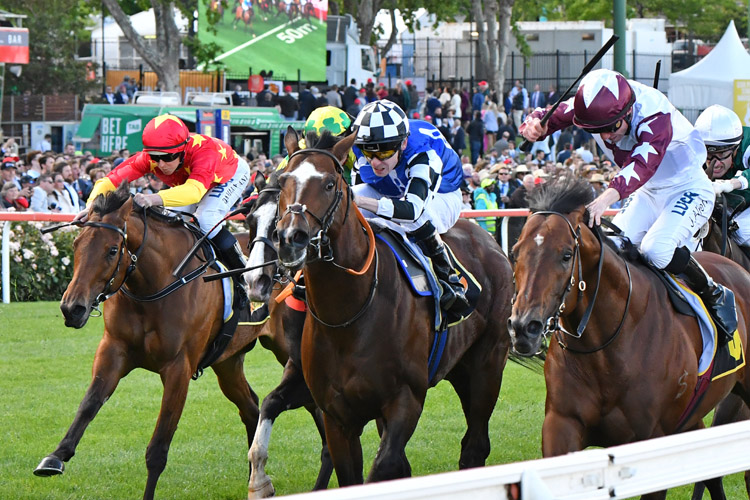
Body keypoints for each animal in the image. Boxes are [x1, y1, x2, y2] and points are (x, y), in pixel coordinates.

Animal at [37, 184, 270, 500]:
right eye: (75, 244)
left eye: (113, 250)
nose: (72, 308)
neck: (154, 286)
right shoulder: (113, 350)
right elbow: (89, 404)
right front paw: (55, 456)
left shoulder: (178, 368)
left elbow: (158, 447)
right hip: (228, 362)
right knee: (251, 407)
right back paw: (255, 479)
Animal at [274, 131, 516, 486]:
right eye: (281, 181)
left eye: (330, 183)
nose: (292, 238)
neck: (347, 318)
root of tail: (490, 241)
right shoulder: (337, 416)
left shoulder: (406, 400)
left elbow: (385, 466)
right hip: (459, 368)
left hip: (486, 365)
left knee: (475, 445)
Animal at [508, 176, 750, 500]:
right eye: (514, 253)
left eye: (566, 255)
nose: (524, 327)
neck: (605, 349)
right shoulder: (562, 426)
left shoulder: (652, 441)